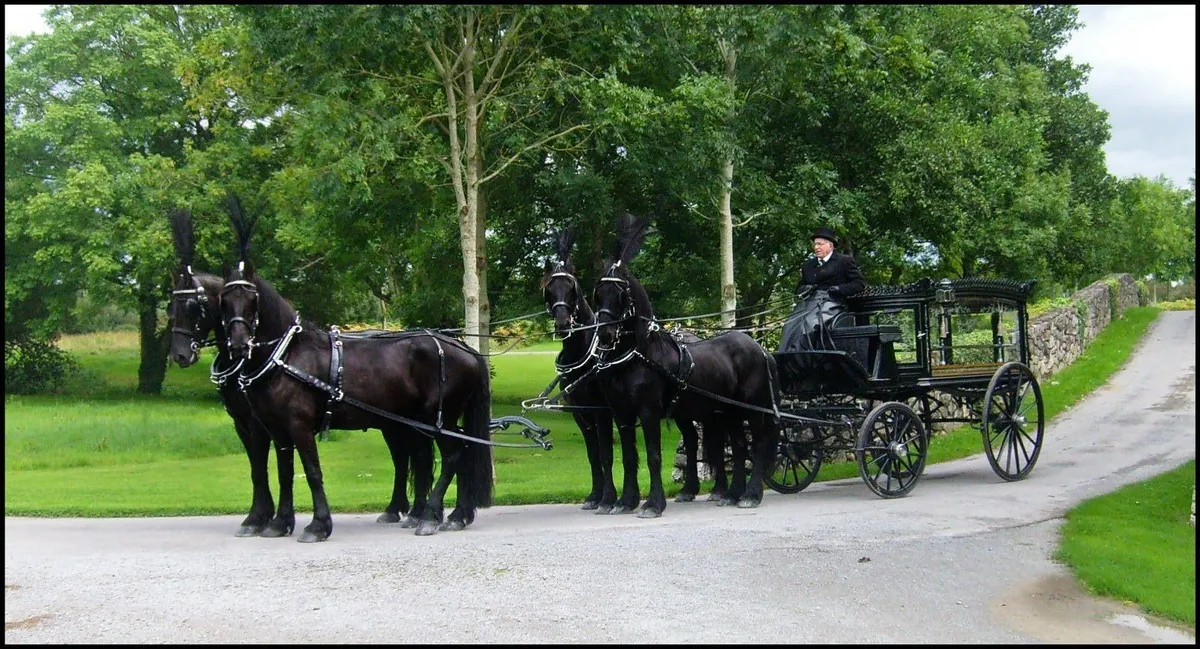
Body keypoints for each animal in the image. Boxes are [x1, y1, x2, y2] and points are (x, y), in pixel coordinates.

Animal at [218, 199, 494, 542]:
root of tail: (463, 347)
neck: (287, 356)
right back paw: (456, 515)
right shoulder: (277, 429)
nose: (239, 344)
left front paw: (318, 525)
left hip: (436, 420)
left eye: (252, 297)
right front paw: (280, 522)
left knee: (454, 455)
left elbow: (312, 471)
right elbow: (284, 472)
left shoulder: (298, 425)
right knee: (457, 454)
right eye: (224, 298)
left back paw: (430, 516)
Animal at [588, 214, 777, 518]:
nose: (604, 334)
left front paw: (653, 504)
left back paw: (751, 494)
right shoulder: (622, 413)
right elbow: (628, 457)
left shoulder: (649, 411)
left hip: (751, 407)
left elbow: (653, 456)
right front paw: (625, 501)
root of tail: (758, 347)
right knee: (738, 446)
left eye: (620, 294)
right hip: (729, 410)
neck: (638, 355)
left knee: (757, 444)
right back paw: (732, 494)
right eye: (598, 293)